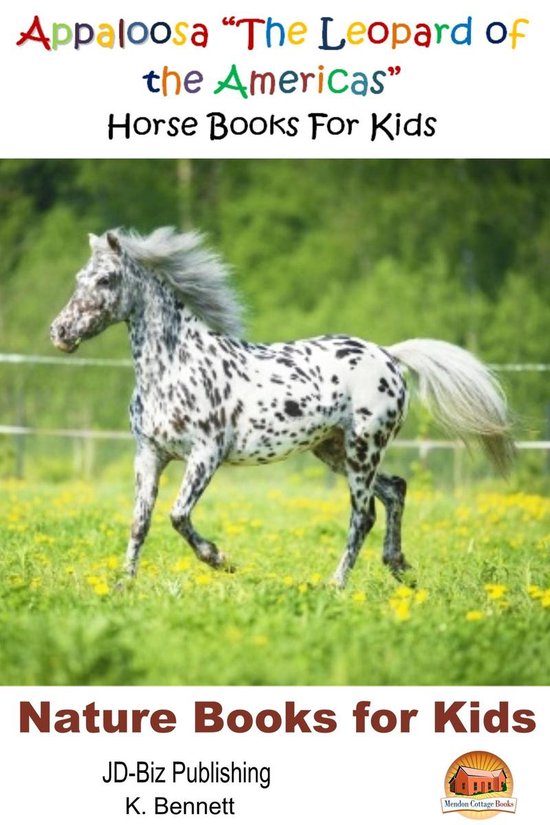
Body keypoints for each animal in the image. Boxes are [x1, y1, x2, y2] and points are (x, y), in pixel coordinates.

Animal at [50, 228, 514, 588]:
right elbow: (140, 522)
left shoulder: (205, 454)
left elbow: (178, 515)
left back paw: (336, 584)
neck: (173, 367)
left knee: (363, 515)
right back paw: (399, 567)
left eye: (106, 279)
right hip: (333, 450)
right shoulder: (150, 454)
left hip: (363, 449)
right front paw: (123, 584)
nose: (60, 332)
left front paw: (221, 560)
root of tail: (387, 355)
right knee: (395, 490)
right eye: (79, 278)